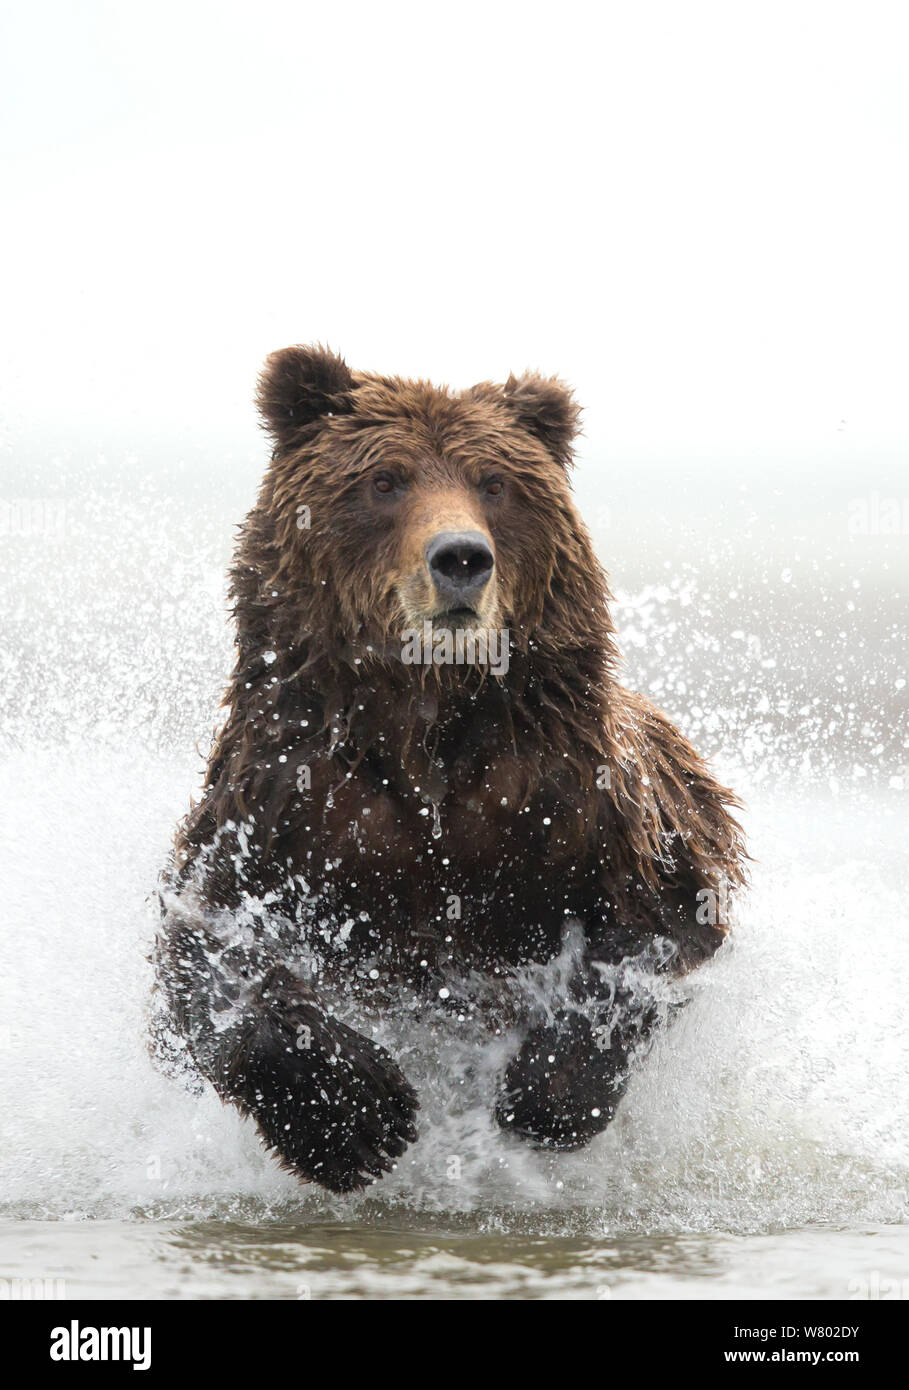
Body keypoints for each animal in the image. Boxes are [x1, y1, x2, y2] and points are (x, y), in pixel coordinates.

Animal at [151, 347, 750, 1195]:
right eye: (385, 480)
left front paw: (546, 1095)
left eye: (494, 483)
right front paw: (356, 1121)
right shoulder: (282, 807)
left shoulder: (575, 798)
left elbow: (656, 931)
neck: (423, 722)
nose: (461, 557)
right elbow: (210, 963)